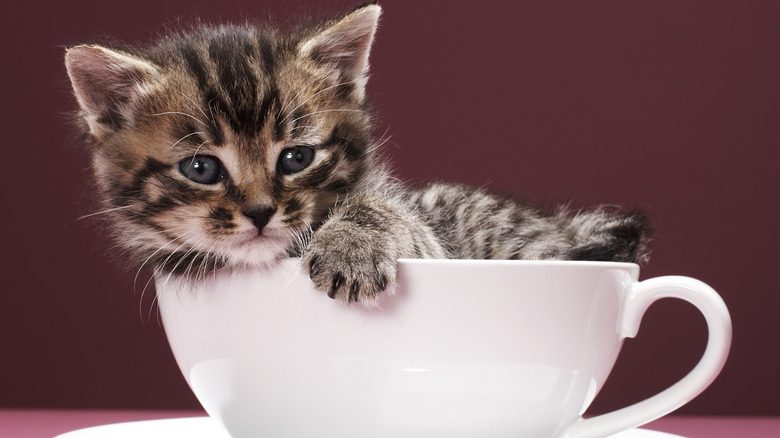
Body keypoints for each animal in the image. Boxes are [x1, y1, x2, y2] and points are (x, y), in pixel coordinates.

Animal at [64, 2, 648, 304]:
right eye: (201, 168)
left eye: (296, 159)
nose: (260, 213)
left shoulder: (430, 238)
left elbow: (380, 208)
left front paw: (352, 245)